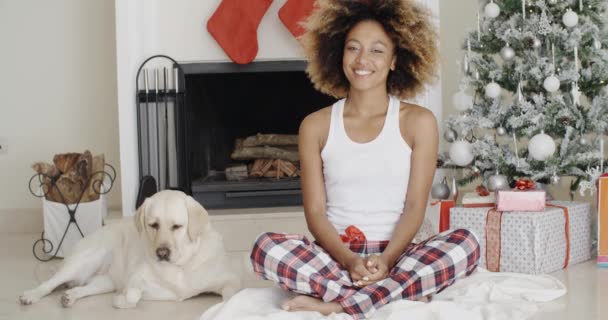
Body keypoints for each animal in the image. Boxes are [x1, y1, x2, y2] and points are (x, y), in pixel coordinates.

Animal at [19, 190, 239, 308]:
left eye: (177, 226)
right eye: (153, 225)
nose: (162, 253)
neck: (181, 265)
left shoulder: (229, 279)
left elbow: (232, 294)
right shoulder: (135, 277)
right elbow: (134, 293)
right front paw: (122, 301)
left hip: (103, 282)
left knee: (81, 288)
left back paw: (69, 297)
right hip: (84, 260)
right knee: (50, 283)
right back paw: (31, 295)